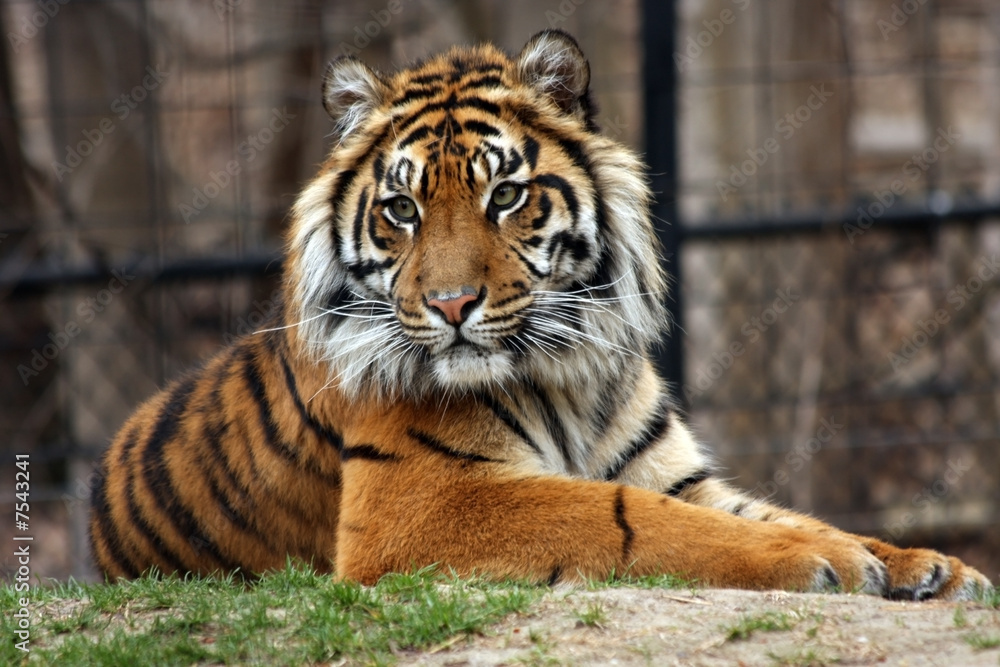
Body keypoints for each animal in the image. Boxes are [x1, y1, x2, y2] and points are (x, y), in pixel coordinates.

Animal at [89, 30, 993, 601]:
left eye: (505, 195)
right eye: (402, 210)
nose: (451, 305)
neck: (568, 372)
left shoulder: (677, 473)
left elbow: (762, 508)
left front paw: (925, 564)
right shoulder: (422, 505)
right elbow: (631, 518)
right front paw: (821, 557)